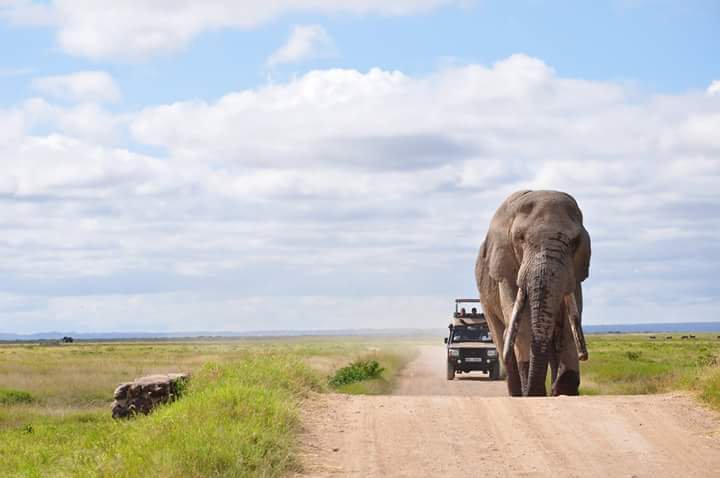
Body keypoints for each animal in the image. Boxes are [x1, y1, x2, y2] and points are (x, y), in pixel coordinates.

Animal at [472, 190, 592, 396]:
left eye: (574, 242)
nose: (584, 355)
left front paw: (563, 390)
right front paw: (534, 393)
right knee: (501, 337)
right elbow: (523, 327)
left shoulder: (574, 275)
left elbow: (569, 327)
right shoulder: (506, 269)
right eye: (520, 238)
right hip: (485, 301)